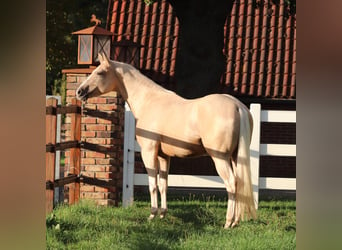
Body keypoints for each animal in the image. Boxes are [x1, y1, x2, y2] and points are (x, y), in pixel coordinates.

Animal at [75, 52, 256, 229]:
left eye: (100, 72)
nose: (79, 92)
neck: (149, 101)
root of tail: (237, 106)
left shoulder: (149, 152)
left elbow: (152, 184)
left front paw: (152, 214)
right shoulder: (164, 156)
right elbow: (163, 184)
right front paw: (162, 214)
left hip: (220, 158)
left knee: (231, 183)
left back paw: (228, 222)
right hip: (234, 157)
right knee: (239, 183)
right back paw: (236, 221)